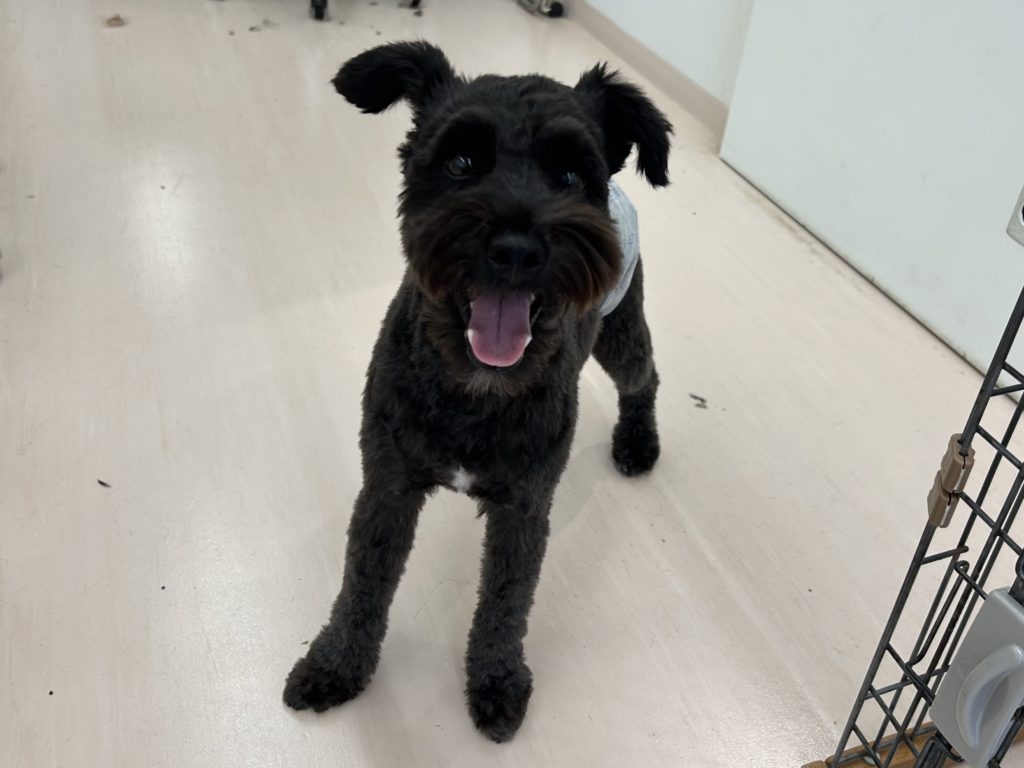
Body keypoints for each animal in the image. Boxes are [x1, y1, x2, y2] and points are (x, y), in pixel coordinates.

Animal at [283, 41, 672, 743]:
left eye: (569, 175)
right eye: (461, 162)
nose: (516, 249)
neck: (475, 385)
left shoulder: (524, 506)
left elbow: (505, 601)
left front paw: (496, 681)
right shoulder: (388, 484)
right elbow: (363, 583)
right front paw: (335, 666)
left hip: (620, 326)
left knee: (646, 375)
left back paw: (638, 442)